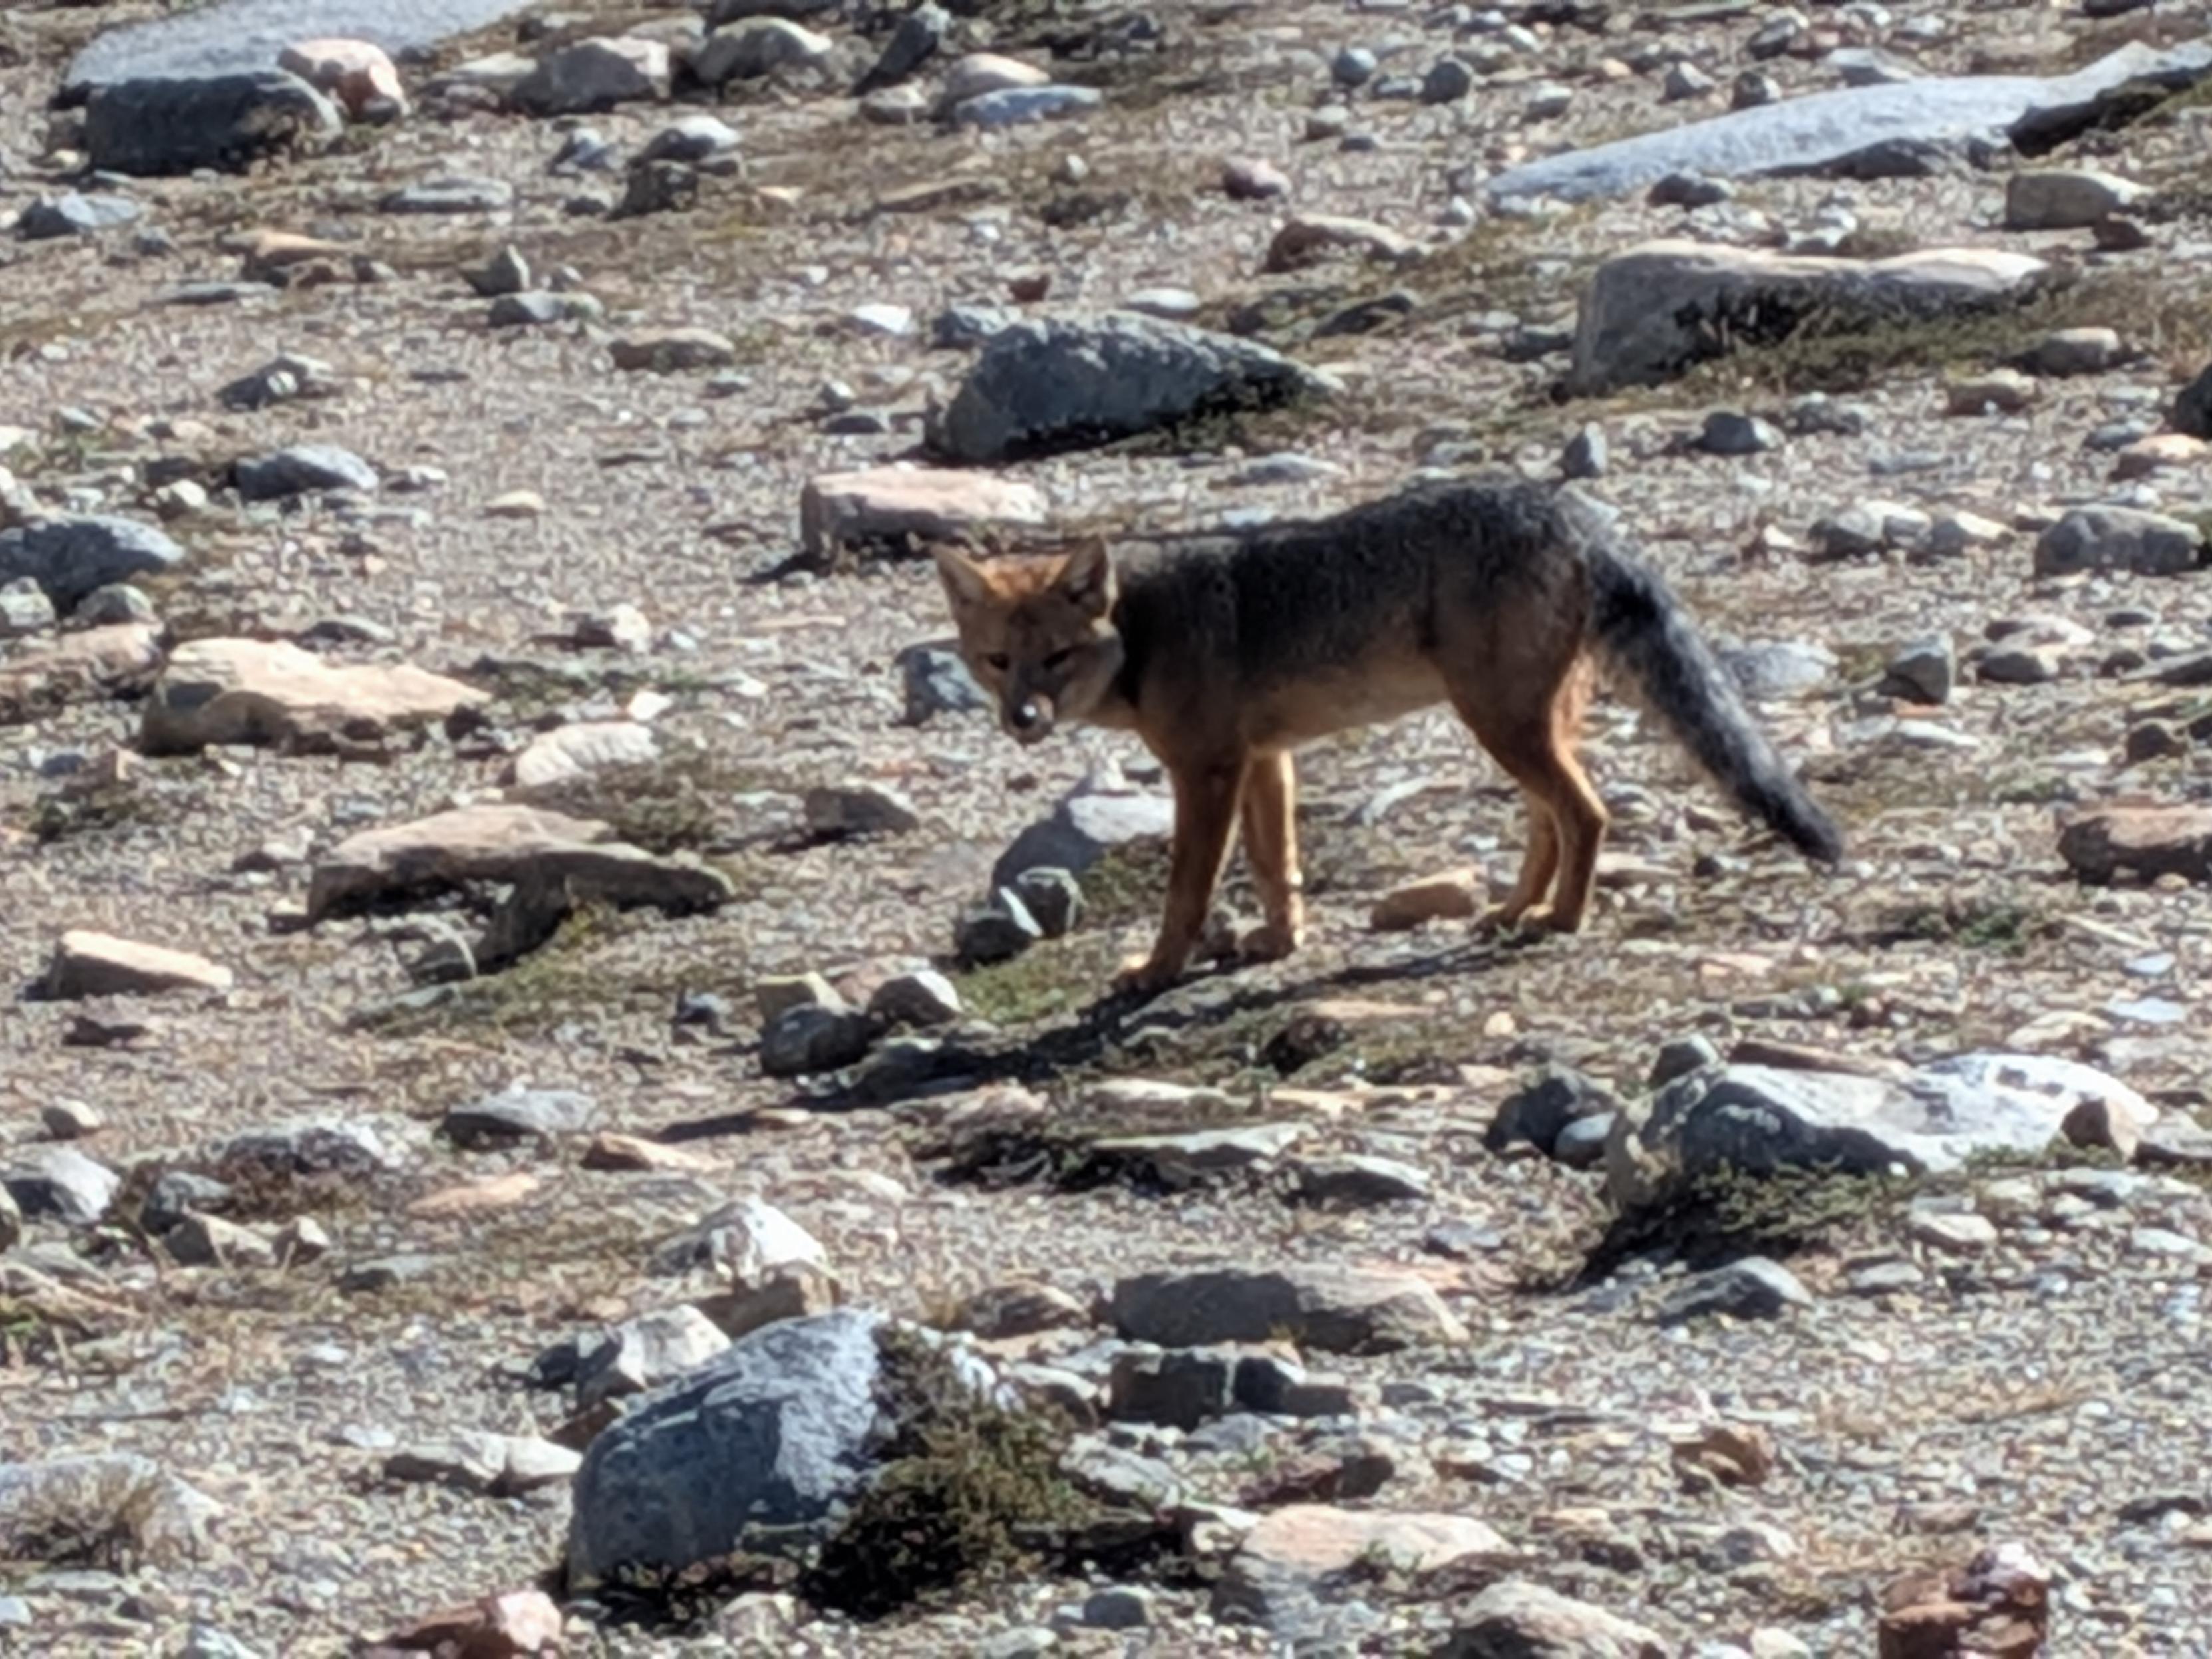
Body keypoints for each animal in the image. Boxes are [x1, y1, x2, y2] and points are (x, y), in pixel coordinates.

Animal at [929, 475, 1843, 999]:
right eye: (997, 662)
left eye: (1057, 659)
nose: (1022, 720)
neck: (1144, 627)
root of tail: (1570, 511)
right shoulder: (1265, 759)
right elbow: (1277, 864)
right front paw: (1279, 942)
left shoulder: (1207, 770)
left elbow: (1189, 889)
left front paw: (1157, 971)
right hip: (1519, 728)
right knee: (1552, 818)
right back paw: (1515, 908)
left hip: (1501, 725)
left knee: (1586, 813)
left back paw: (1560, 919)